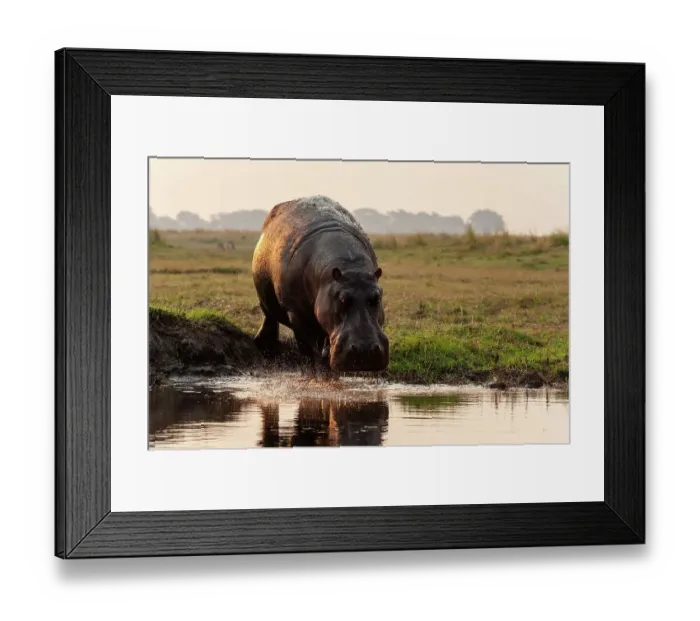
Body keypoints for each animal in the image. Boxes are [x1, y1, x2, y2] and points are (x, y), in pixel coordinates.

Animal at [252, 195, 389, 376]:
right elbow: (308, 347)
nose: (364, 349)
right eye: (342, 298)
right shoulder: (296, 312)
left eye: (377, 297)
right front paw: (317, 372)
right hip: (266, 300)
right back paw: (266, 348)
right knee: (270, 317)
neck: (350, 266)